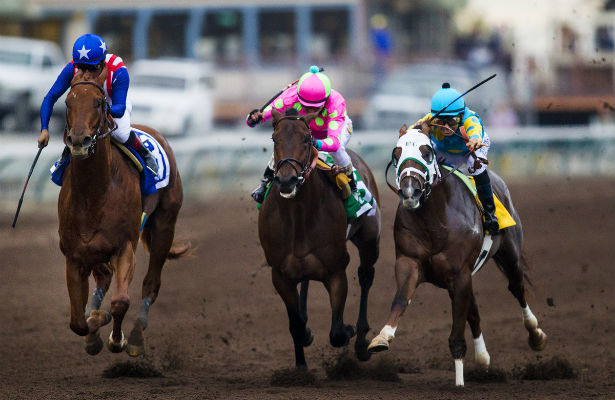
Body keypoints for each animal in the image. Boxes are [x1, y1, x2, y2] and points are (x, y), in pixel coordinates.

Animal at [60, 68, 191, 356]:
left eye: (98, 102)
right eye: (68, 102)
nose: (79, 141)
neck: (94, 195)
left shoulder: (125, 246)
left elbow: (119, 302)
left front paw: (115, 337)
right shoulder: (75, 255)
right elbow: (77, 322)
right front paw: (93, 328)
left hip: (164, 225)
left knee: (151, 284)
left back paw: (135, 337)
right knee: (104, 277)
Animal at [256, 108, 380, 368]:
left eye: (306, 139)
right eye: (274, 138)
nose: (286, 180)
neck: (298, 215)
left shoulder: (336, 270)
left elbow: (337, 332)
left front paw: (349, 330)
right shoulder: (280, 275)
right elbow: (295, 326)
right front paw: (301, 365)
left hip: (370, 240)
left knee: (366, 275)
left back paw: (361, 342)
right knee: (305, 282)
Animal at [368, 126, 548, 386]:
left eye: (427, 152)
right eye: (396, 153)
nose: (410, 191)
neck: (435, 219)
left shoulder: (460, 273)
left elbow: (457, 331)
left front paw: (460, 383)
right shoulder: (409, 263)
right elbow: (401, 299)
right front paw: (382, 337)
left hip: (509, 255)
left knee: (516, 287)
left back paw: (536, 335)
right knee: (473, 311)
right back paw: (483, 358)